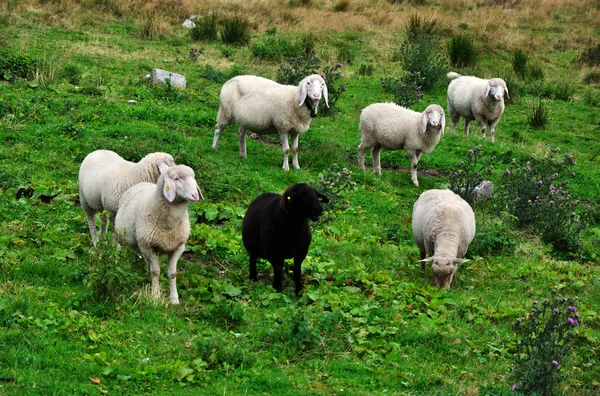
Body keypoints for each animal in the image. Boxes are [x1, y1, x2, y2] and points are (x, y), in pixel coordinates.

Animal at [113, 163, 203, 304]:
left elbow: (172, 274)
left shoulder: (178, 247)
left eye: (193, 177)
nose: (195, 195)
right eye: (176, 178)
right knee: (118, 248)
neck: (170, 225)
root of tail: (141, 183)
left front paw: (174, 299)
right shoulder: (148, 246)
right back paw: (116, 264)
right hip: (120, 235)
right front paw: (155, 297)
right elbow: (156, 272)